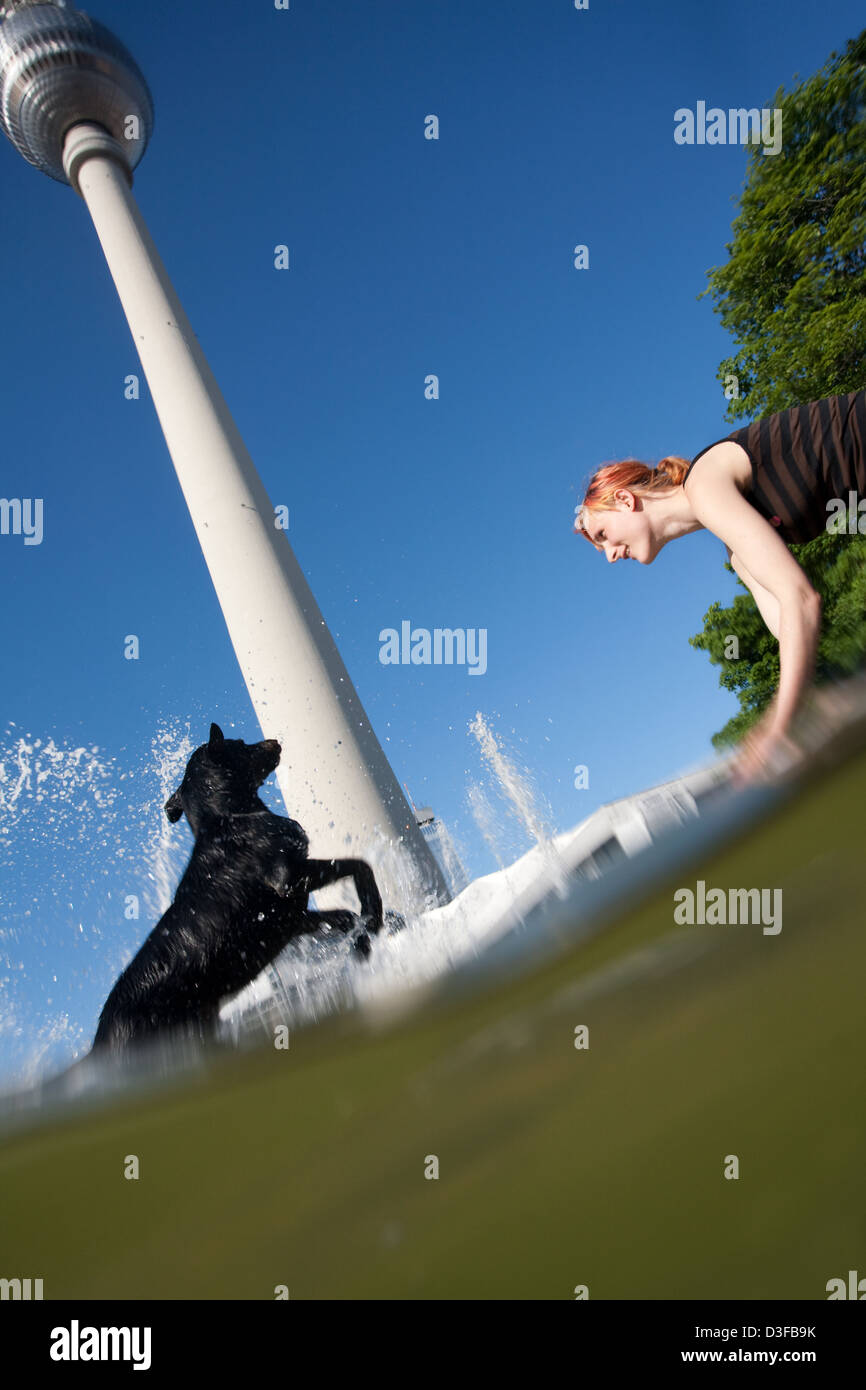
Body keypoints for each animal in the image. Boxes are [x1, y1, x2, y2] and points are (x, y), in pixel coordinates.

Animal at [92, 728, 386, 1050]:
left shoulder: (293, 919)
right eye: (241, 744)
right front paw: (374, 914)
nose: (274, 740)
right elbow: (360, 865)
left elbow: (345, 917)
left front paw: (363, 940)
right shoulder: (289, 878)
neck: (231, 818)